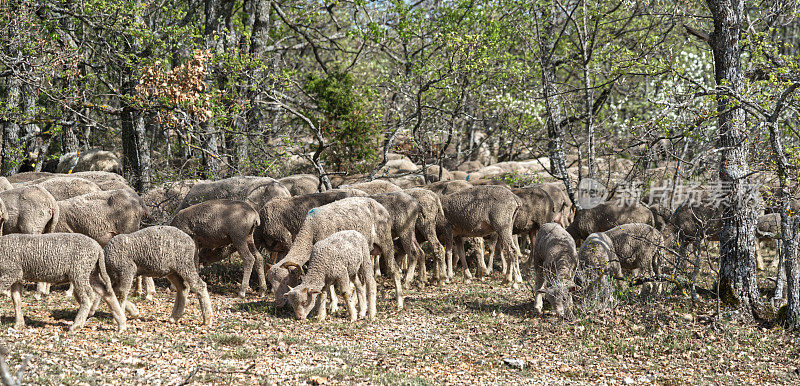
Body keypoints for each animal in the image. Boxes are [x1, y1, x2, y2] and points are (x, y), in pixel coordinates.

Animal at [270, 198, 400, 310]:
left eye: (285, 281)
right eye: (271, 283)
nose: (279, 304)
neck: (310, 231)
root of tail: (381, 206)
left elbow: (331, 285)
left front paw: (333, 305)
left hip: (385, 240)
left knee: (395, 270)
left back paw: (399, 303)